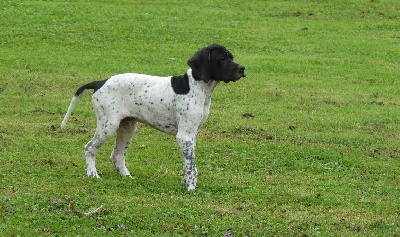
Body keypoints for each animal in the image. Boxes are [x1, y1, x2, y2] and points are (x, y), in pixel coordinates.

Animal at [61, 45, 245, 191]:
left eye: (232, 57)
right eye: (222, 58)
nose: (242, 69)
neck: (198, 87)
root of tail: (100, 82)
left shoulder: (191, 136)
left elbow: (187, 163)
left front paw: (185, 183)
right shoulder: (185, 136)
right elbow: (192, 166)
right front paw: (191, 188)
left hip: (127, 127)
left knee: (117, 156)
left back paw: (127, 177)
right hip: (108, 125)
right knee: (89, 148)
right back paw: (92, 174)